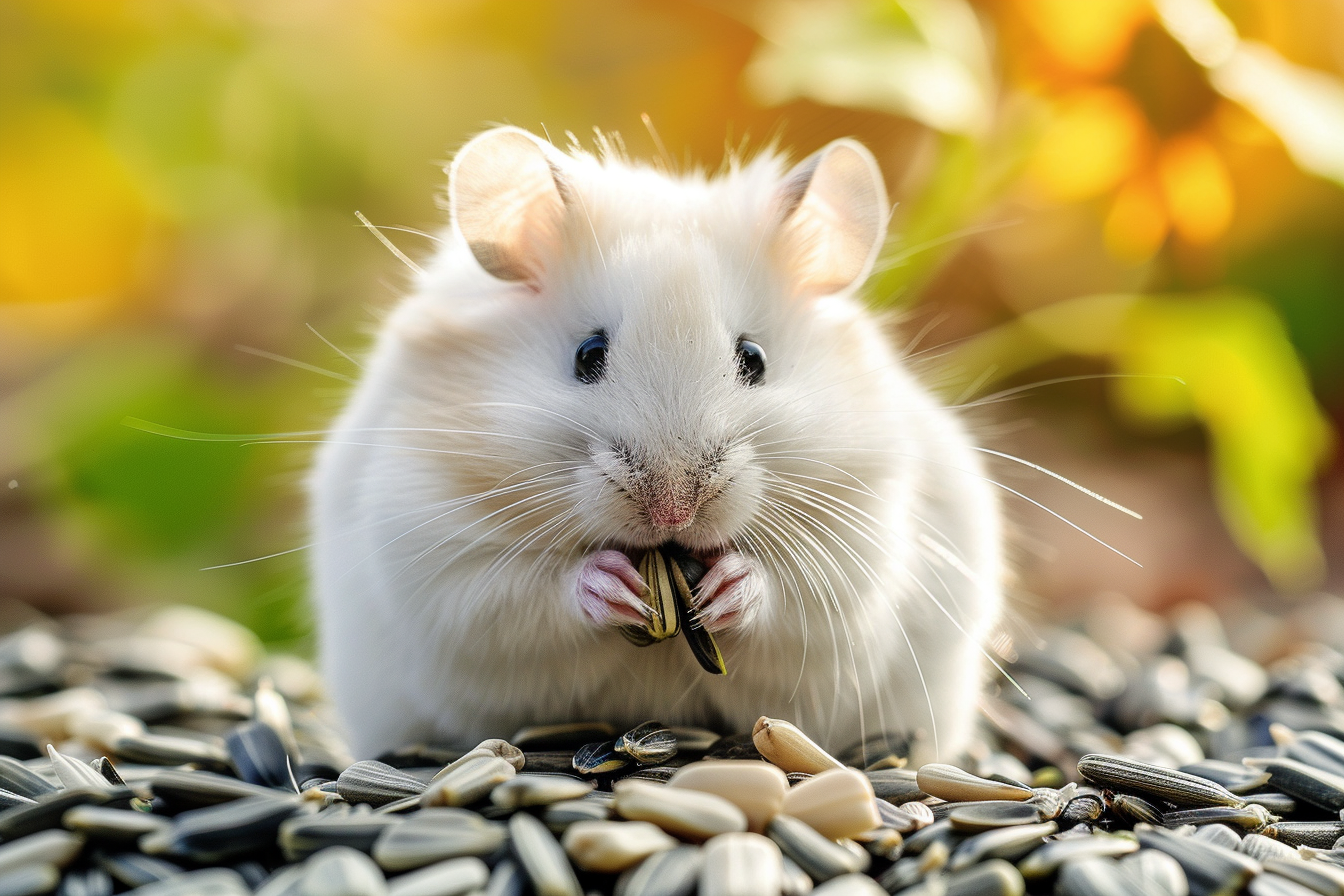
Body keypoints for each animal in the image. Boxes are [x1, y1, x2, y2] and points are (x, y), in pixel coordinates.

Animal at [309, 126, 1004, 762]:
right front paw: (614, 586)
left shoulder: (859, 538)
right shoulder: (434, 550)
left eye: (754, 358)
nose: (672, 512)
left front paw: (725, 590)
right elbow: (520, 596)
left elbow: (793, 597)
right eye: (588, 354)